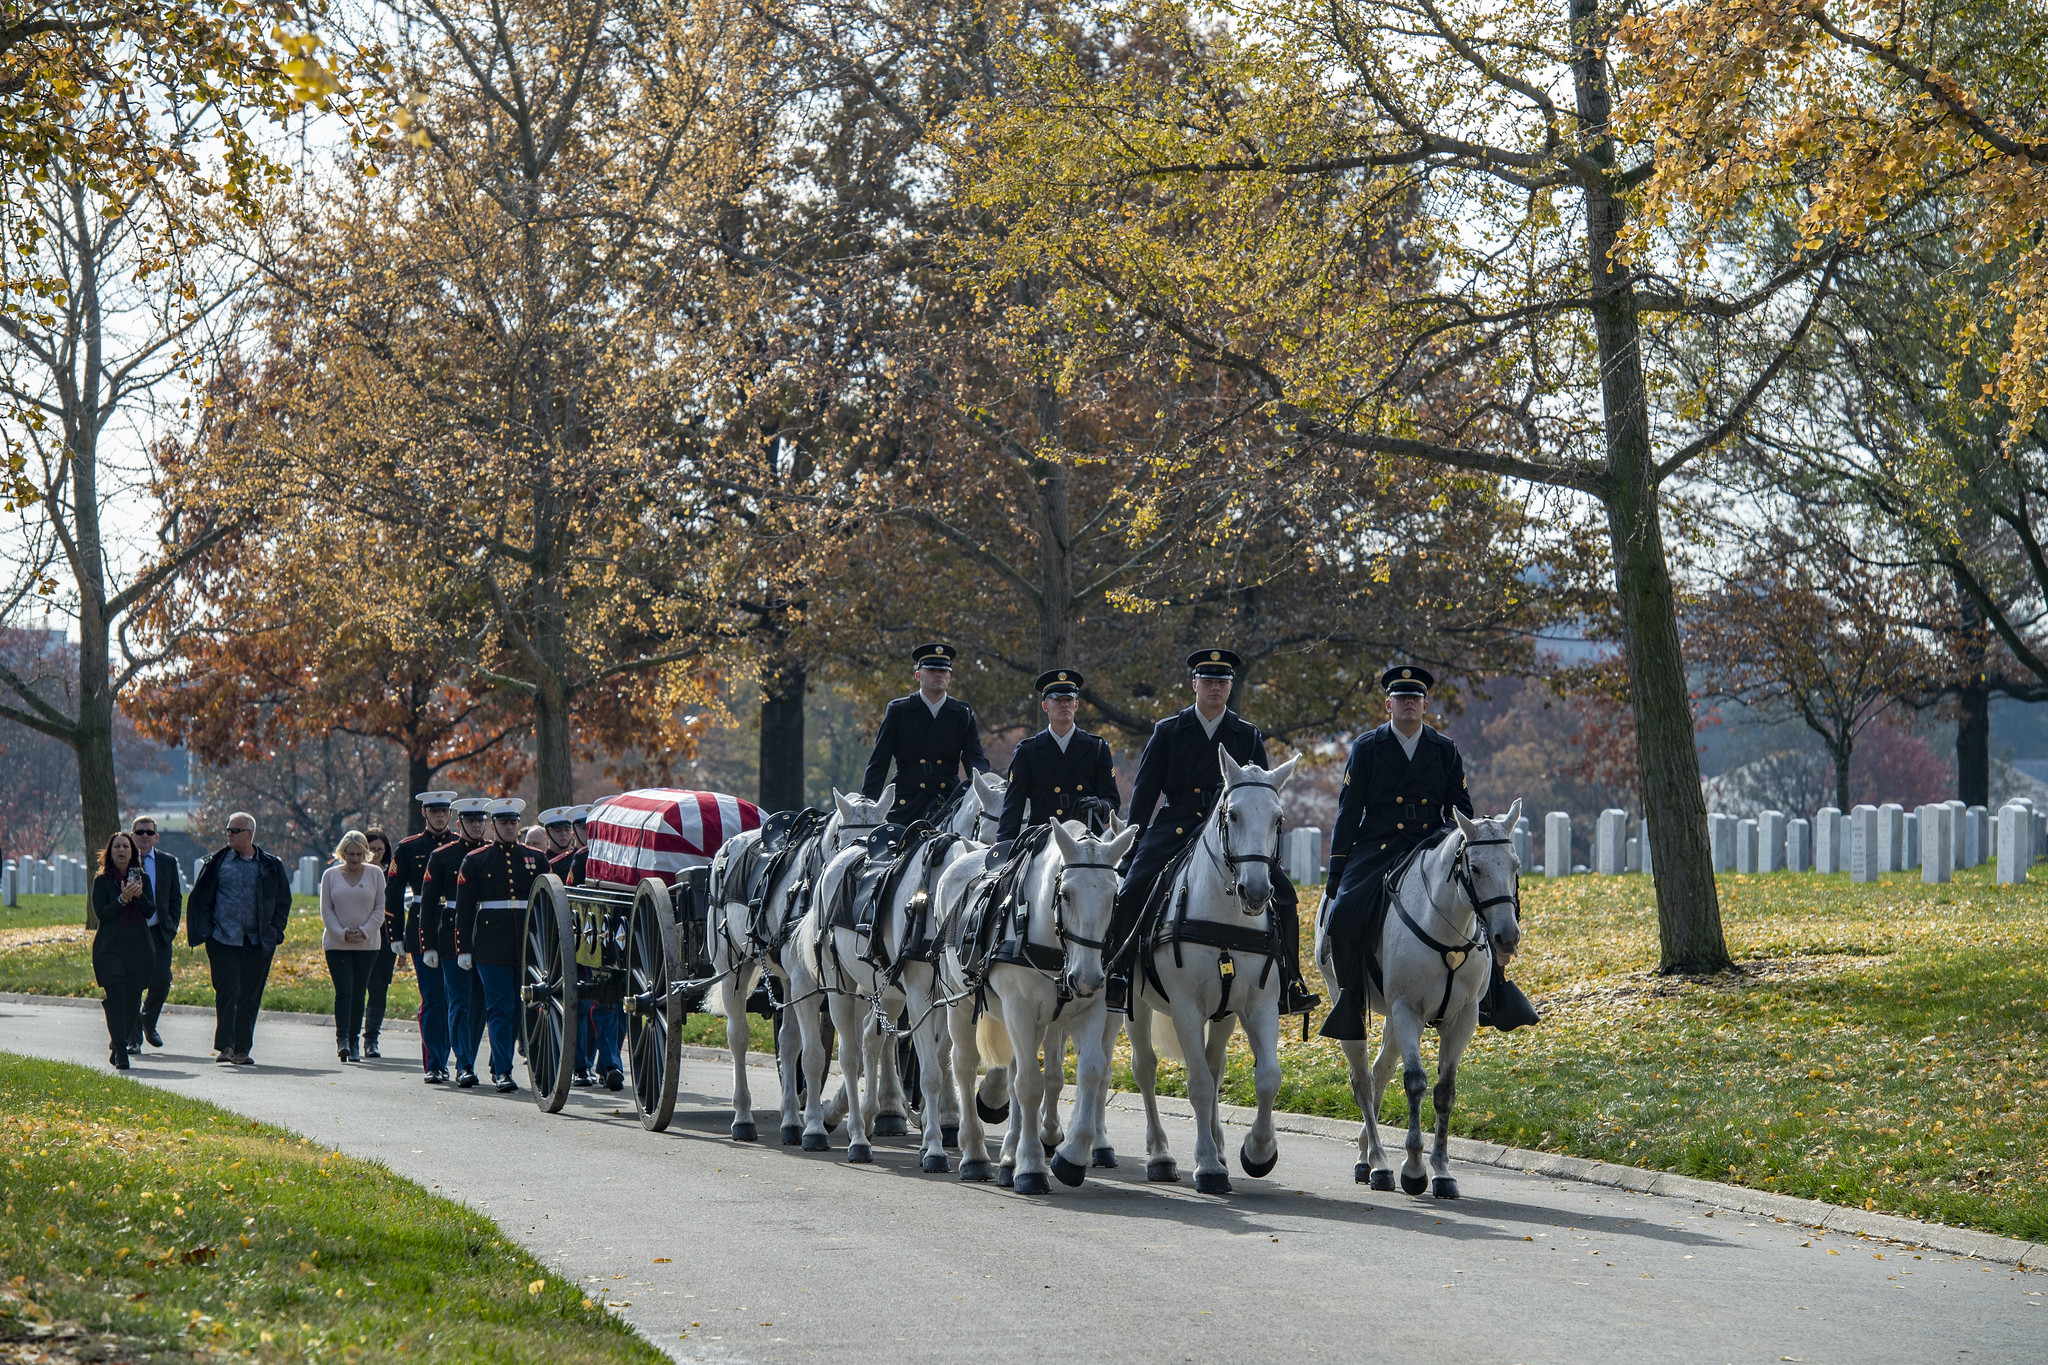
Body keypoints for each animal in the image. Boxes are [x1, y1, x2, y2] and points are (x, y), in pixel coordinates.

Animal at [712, 789, 888, 1154]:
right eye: (842, 839)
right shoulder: (808, 983)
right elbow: (814, 1057)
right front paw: (817, 1129)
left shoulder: (846, 987)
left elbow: (854, 1051)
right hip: (732, 968)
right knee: (739, 1038)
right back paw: (743, 1117)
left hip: (789, 982)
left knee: (787, 1042)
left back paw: (791, 1120)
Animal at [937, 822, 1138, 1195]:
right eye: (1066, 894)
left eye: (1114, 897)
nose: (1087, 978)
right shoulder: (1020, 1010)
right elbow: (1030, 1084)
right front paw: (1030, 1167)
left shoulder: (1091, 1011)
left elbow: (1090, 1072)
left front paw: (1071, 1156)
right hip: (960, 1004)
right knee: (965, 1067)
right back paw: (974, 1155)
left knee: (1015, 1070)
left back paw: (1008, 1157)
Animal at [1122, 753, 1294, 1186]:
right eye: (1232, 815)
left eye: (1278, 819)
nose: (1256, 891)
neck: (1226, 922)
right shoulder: (1186, 1009)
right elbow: (1198, 1083)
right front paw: (1208, 1166)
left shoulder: (1258, 1006)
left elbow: (1267, 1078)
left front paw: (1258, 1151)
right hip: (1134, 1007)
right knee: (1145, 1068)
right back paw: (1160, 1155)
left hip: (1225, 1015)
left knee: (1216, 1066)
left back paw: (1217, 1144)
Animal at [1310, 802, 1523, 1195]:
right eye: (1475, 867)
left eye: (1515, 865)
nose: (1506, 937)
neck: (1447, 929)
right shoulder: (1407, 1011)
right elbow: (1415, 1083)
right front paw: (1413, 1167)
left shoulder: (1462, 1018)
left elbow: (1444, 1091)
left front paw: (1441, 1170)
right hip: (1354, 1007)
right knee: (1363, 1081)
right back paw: (1379, 1162)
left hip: (1395, 1022)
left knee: (1380, 1073)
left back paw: (1366, 1155)